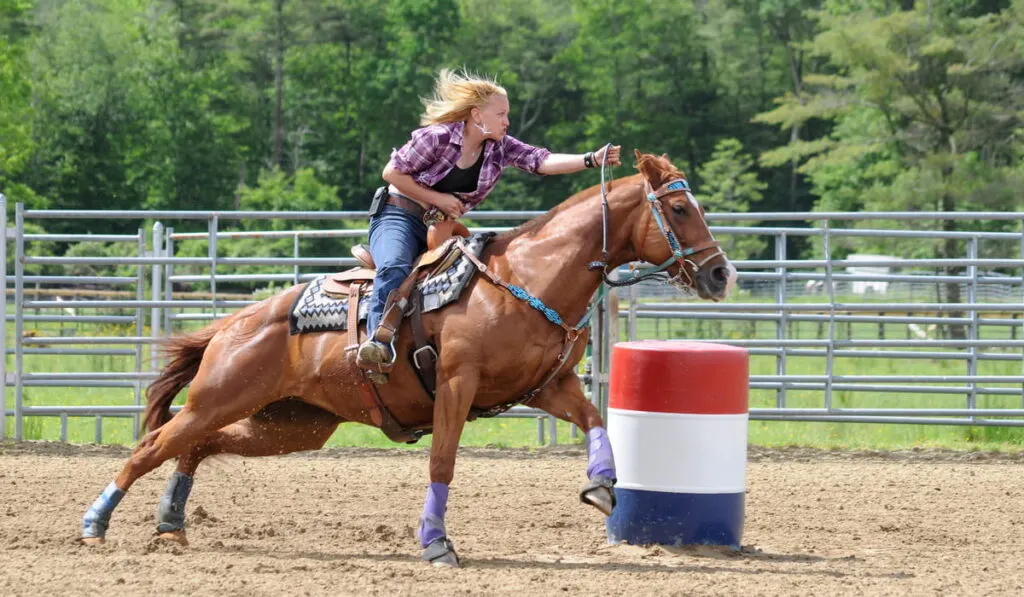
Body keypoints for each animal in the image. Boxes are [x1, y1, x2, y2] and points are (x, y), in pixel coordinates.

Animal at [81, 149, 737, 565]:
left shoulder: (548, 386)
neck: (527, 279)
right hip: (223, 396)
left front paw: (602, 486)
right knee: (153, 445)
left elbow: (597, 420)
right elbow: (442, 462)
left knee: (198, 445)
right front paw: (436, 543)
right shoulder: (456, 383)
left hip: (291, 423)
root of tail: (231, 324)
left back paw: (170, 522)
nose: (720, 274)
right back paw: (95, 524)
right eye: (680, 209)